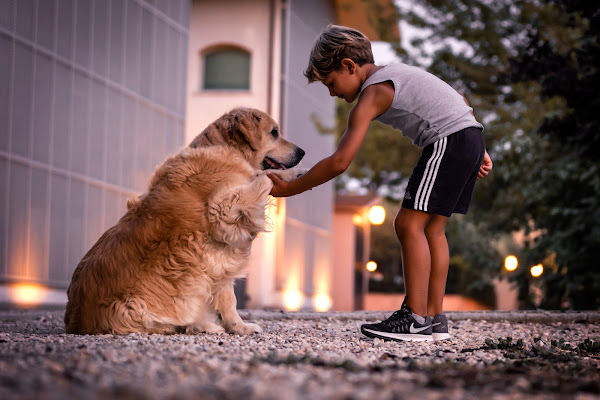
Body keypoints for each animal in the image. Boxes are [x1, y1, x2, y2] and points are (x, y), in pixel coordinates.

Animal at [67, 106, 304, 334]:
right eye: (274, 132)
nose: (302, 152)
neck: (227, 150)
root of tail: (75, 323)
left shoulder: (219, 255)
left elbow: (226, 295)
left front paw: (238, 328)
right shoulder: (224, 210)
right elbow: (264, 177)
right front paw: (292, 173)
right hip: (133, 307)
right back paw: (201, 325)